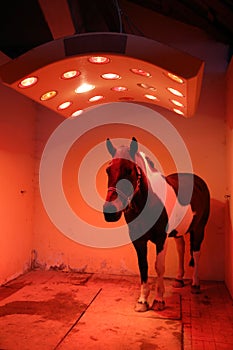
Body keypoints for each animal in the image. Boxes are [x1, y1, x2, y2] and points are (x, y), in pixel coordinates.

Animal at [103, 137, 210, 312]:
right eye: (108, 170)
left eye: (129, 170)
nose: (110, 212)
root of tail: (200, 182)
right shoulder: (139, 241)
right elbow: (143, 266)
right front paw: (142, 301)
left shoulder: (161, 239)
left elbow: (159, 267)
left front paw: (159, 300)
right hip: (178, 232)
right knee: (181, 250)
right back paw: (179, 280)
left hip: (199, 229)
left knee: (196, 253)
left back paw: (195, 284)